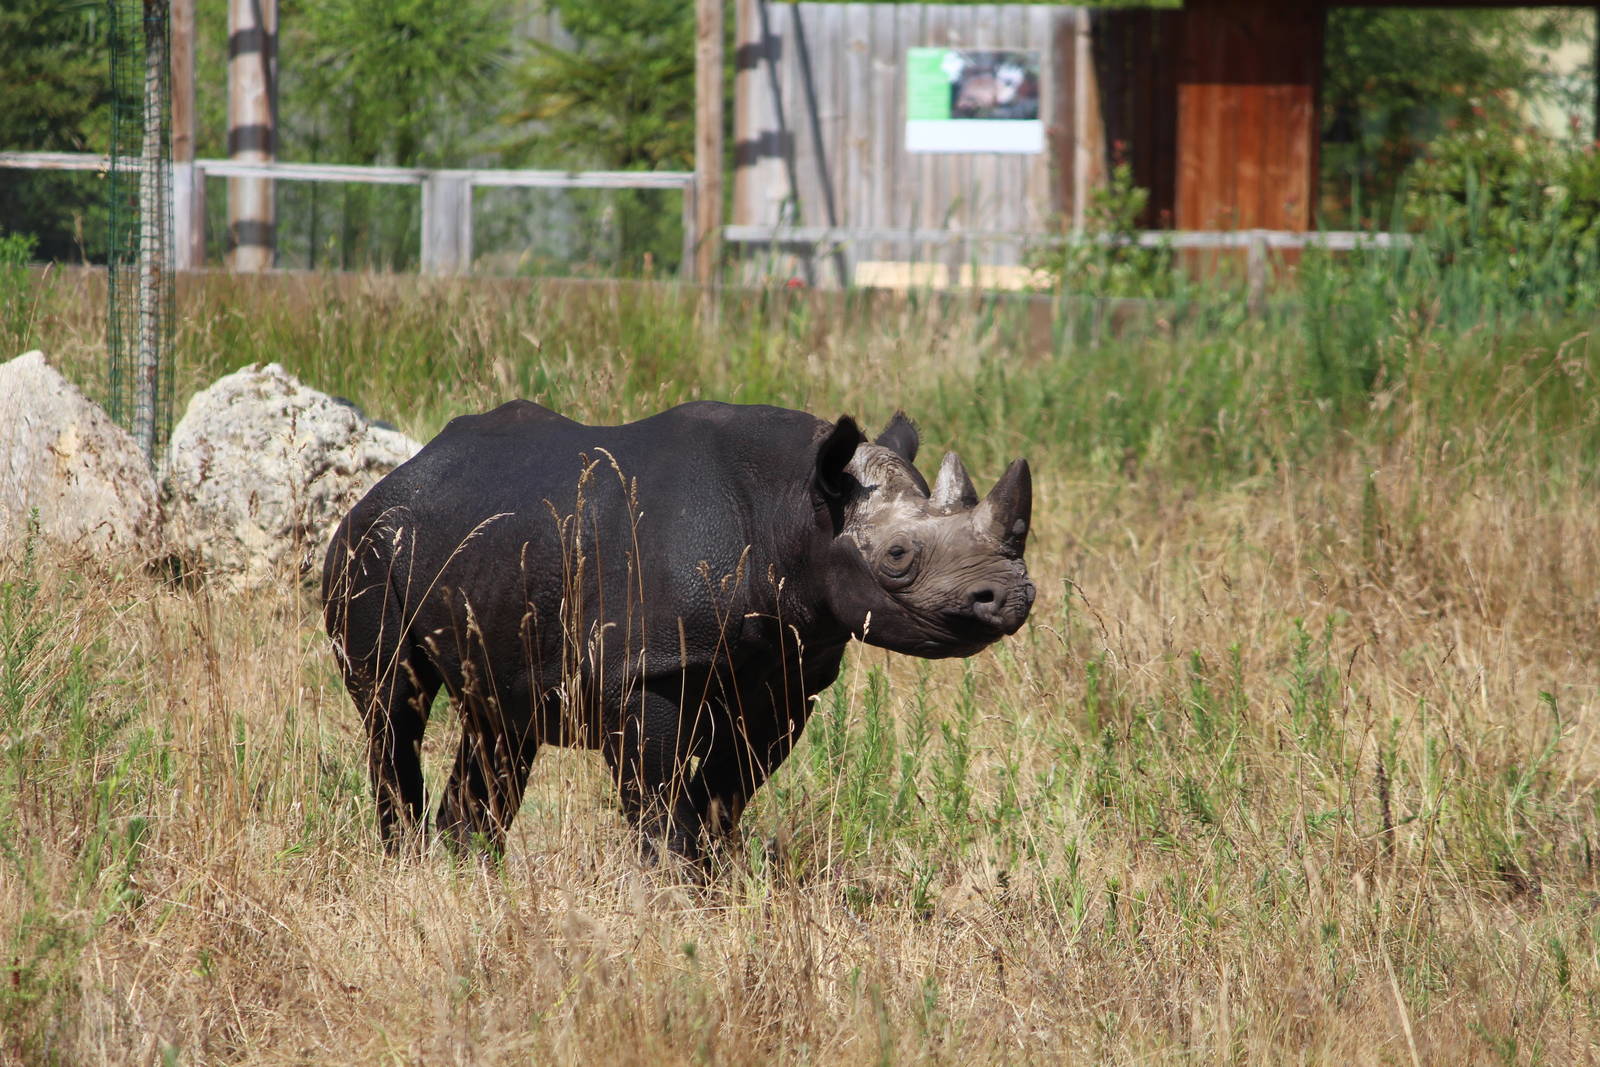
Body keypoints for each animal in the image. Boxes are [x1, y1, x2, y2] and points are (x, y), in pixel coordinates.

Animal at [322, 401, 1034, 864]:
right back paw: (408, 863)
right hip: (367, 548)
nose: (1012, 597)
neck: (795, 507)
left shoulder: (788, 671)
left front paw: (714, 877)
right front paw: (675, 886)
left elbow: (726, 787)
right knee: (394, 705)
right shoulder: (650, 666)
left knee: (498, 723)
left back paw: (463, 869)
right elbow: (659, 791)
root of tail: (391, 477)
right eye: (897, 557)